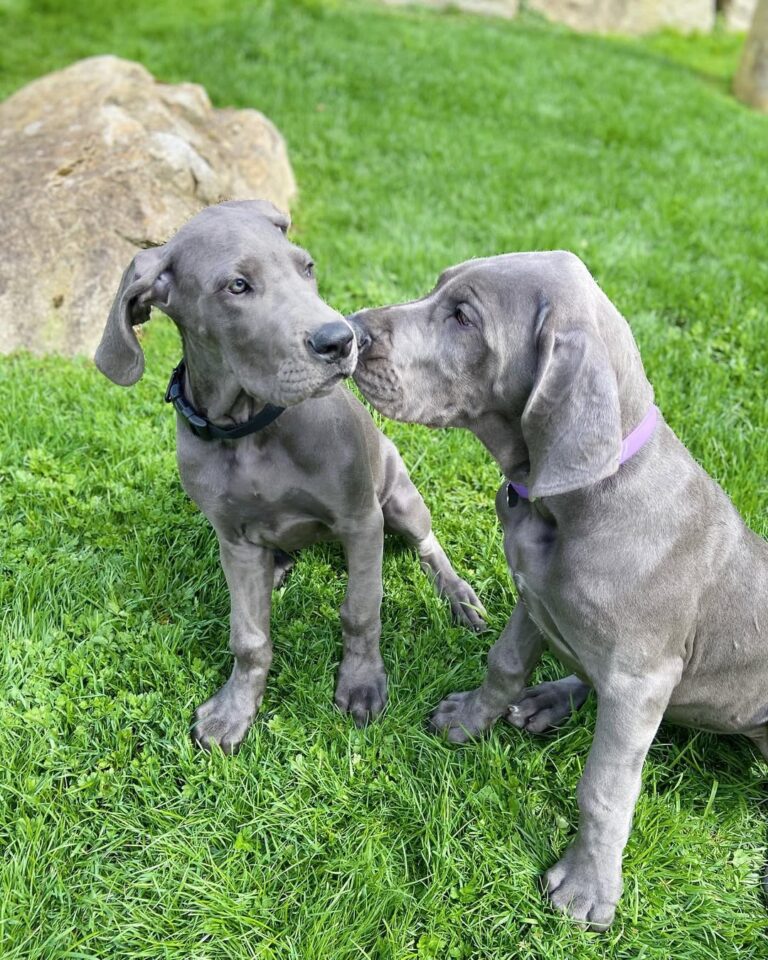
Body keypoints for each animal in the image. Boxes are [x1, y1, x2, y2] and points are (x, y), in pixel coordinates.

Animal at [93, 202, 484, 752]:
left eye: (307, 268)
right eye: (236, 286)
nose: (340, 340)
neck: (250, 429)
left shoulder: (361, 519)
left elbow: (361, 609)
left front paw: (361, 683)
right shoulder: (234, 541)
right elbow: (249, 638)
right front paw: (234, 710)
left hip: (400, 498)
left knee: (428, 546)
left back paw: (459, 597)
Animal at [350, 251, 768, 932]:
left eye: (463, 317)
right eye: (439, 285)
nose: (351, 330)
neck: (570, 502)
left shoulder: (641, 678)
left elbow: (605, 785)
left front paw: (587, 887)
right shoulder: (533, 597)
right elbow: (505, 664)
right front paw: (469, 719)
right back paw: (548, 700)